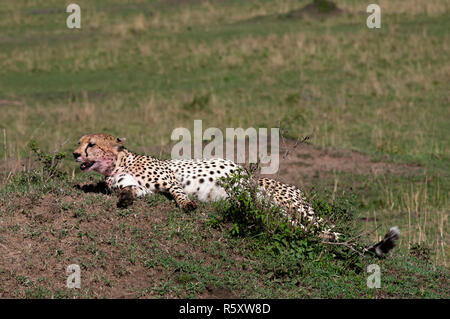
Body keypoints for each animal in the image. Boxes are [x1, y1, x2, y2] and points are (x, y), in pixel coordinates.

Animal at [74, 133, 400, 258]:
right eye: (80, 143)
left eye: (91, 143)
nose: (74, 153)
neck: (117, 164)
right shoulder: (139, 187)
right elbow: (130, 191)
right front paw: (124, 199)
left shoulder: (169, 179)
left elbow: (178, 193)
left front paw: (187, 204)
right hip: (280, 215)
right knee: (308, 232)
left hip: (293, 207)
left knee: (328, 229)